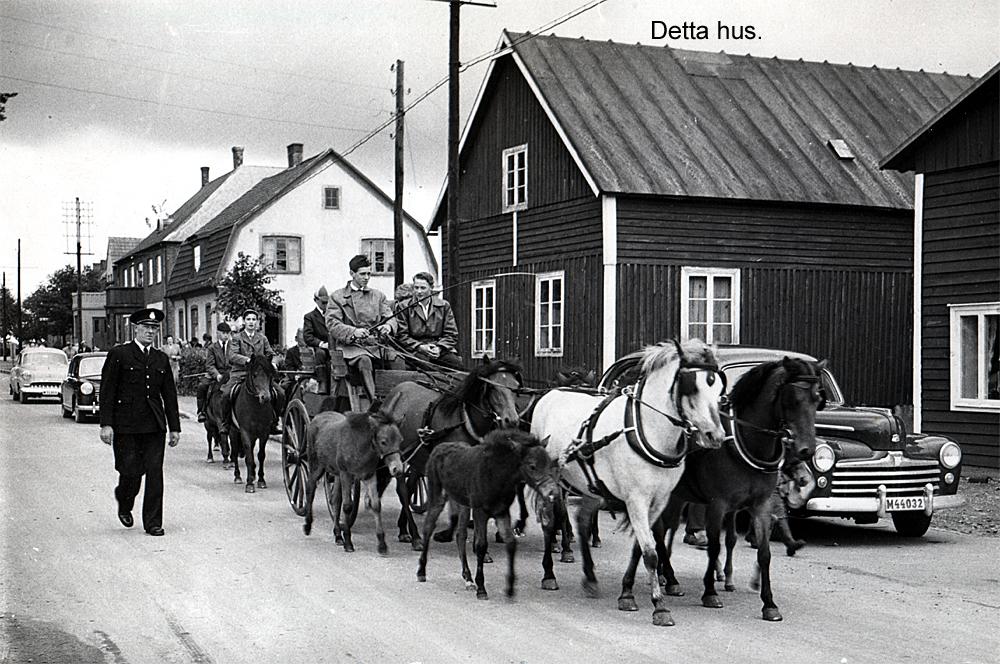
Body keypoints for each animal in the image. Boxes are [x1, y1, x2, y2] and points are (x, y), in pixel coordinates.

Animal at [231, 356, 278, 490]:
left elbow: (260, 455)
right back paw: (238, 476)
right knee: (235, 452)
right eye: (255, 375)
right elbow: (248, 457)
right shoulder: (245, 431)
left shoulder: (264, 432)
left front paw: (261, 480)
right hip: (233, 431)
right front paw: (249, 484)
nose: (265, 397)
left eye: (269, 374)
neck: (255, 406)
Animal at [412, 430, 556, 600]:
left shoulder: (501, 512)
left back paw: (468, 579)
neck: (497, 476)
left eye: (550, 464)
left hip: (463, 503)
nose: (553, 492)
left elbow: (510, 542)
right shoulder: (480, 512)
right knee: (428, 527)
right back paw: (421, 571)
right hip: (437, 495)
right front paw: (481, 588)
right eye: (532, 466)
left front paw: (510, 588)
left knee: (460, 535)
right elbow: (481, 546)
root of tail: (438, 447)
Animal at [532, 340, 728, 624]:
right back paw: (549, 574)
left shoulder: (658, 501)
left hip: (592, 486)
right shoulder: (636, 500)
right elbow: (651, 552)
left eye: (719, 389)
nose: (715, 436)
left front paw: (627, 593)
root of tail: (550, 393)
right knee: (549, 523)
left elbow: (640, 547)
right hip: (552, 482)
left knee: (582, 520)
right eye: (691, 386)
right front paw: (659, 606)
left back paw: (590, 577)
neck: (648, 429)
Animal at [620, 358, 824, 624]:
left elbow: (764, 552)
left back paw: (669, 578)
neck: (744, 442)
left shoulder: (761, 505)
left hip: (674, 498)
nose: (806, 450)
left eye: (817, 399)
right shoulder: (718, 504)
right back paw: (667, 578)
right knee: (661, 534)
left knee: (665, 532)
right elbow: (715, 546)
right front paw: (710, 592)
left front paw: (769, 603)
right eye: (792, 399)